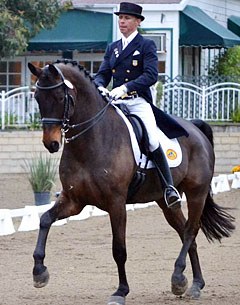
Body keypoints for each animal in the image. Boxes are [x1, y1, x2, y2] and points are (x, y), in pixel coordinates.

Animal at [27, 60, 234, 304]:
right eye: (37, 97)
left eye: (60, 97)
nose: (51, 143)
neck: (91, 140)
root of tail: (195, 129)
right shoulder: (74, 201)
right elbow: (45, 220)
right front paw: (39, 272)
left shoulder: (116, 203)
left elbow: (119, 249)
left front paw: (121, 291)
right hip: (165, 202)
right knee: (184, 231)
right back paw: (194, 284)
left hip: (196, 193)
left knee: (191, 229)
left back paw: (178, 277)